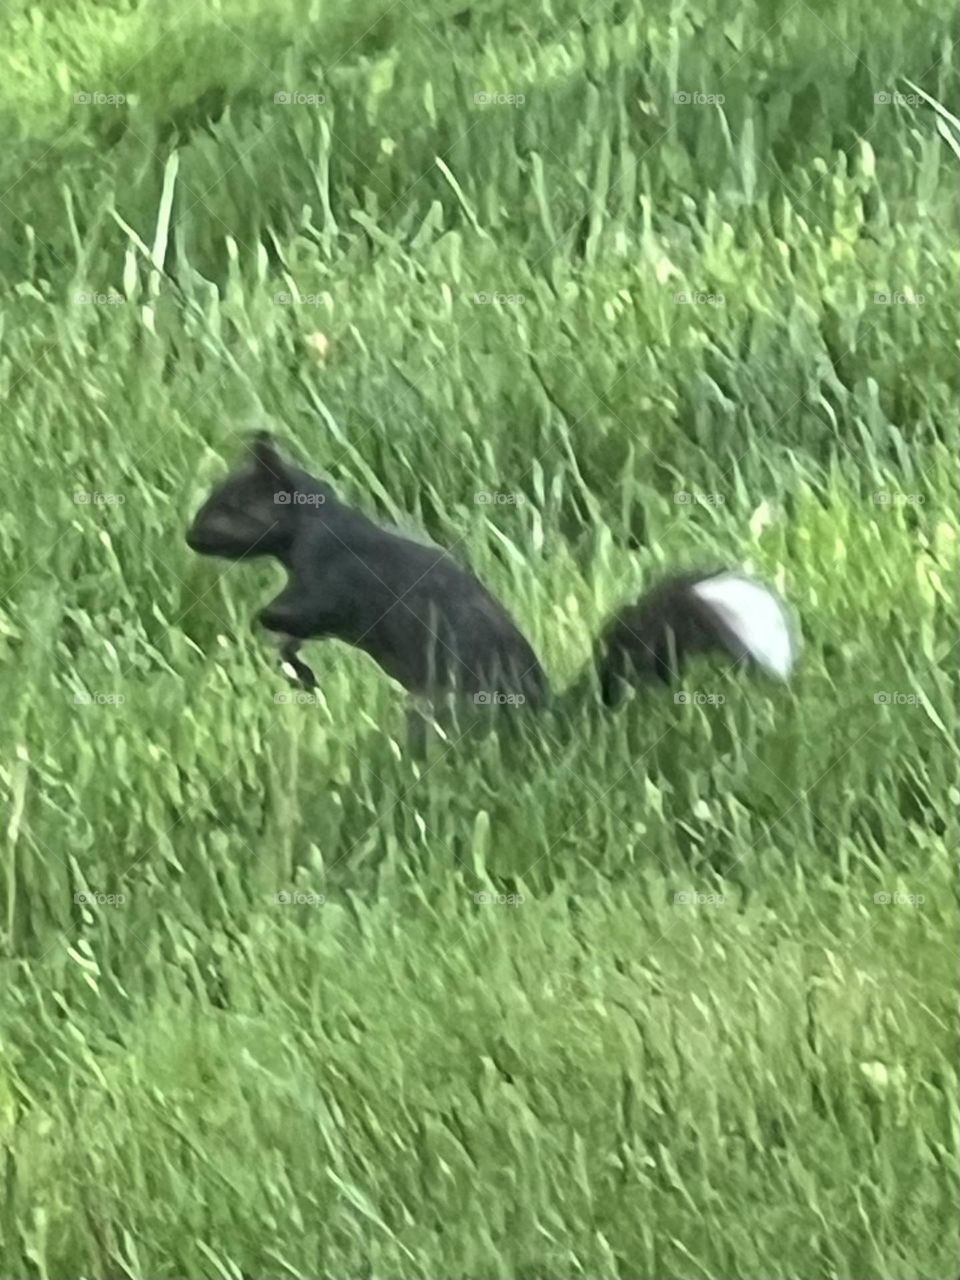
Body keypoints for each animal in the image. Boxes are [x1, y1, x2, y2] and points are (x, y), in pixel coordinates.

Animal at [185, 433, 798, 730]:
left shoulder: (330, 576)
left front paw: (275, 635)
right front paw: (294, 663)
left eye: (230, 507)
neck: (316, 523)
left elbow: (300, 611)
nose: (190, 537)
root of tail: (544, 715)